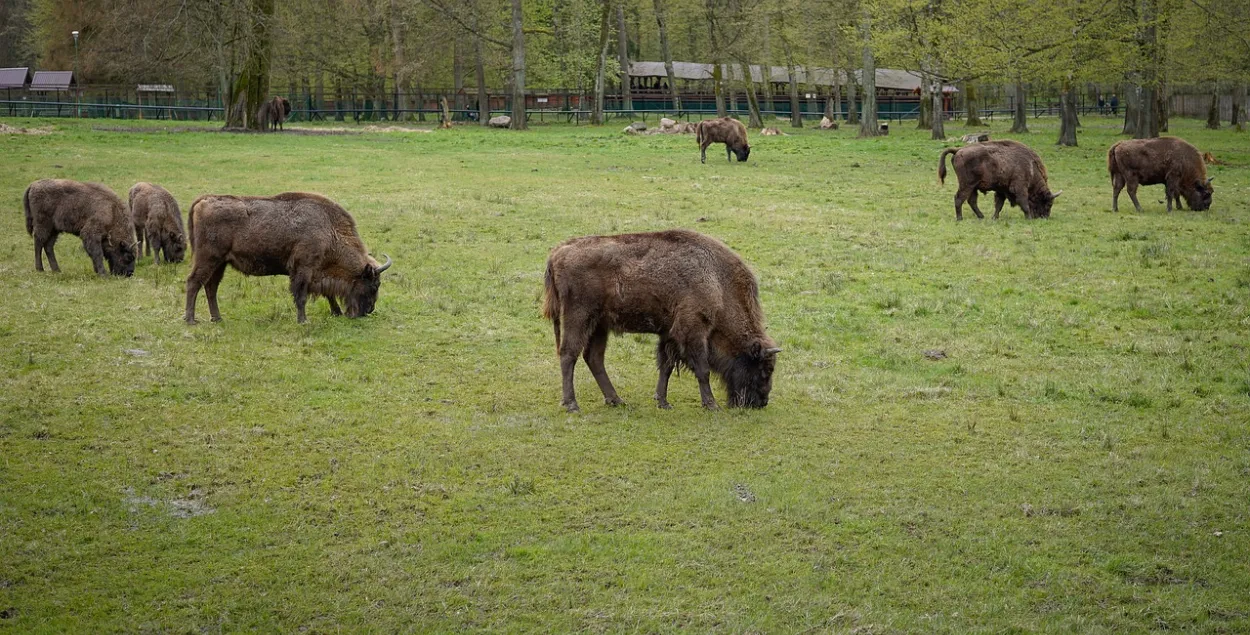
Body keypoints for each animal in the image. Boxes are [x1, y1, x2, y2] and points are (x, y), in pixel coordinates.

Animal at [183, 192, 390, 322]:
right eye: (374, 285)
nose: (369, 310)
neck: (329, 230)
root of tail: (204, 200)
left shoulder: (317, 273)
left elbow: (328, 293)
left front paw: (336, 312)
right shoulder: (303, 269)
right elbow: (301, 296)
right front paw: (303, 320)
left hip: (220, 263)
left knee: (210, 287)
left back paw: (217, 318)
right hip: (208, 259)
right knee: (194, 282)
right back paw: (191, 320)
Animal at [540, 228, 775, 412]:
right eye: (764, 370)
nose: (762, 402)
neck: (717, 281)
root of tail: (557, 253)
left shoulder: (669, 333)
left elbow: (666, 366)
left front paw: (663, 402)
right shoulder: (693, 330)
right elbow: (702, 368)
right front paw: (711, 405)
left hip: (599, 325)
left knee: (593, 358)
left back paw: (616, 400)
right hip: (578, 317)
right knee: (569, 354)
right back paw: (572, 405)